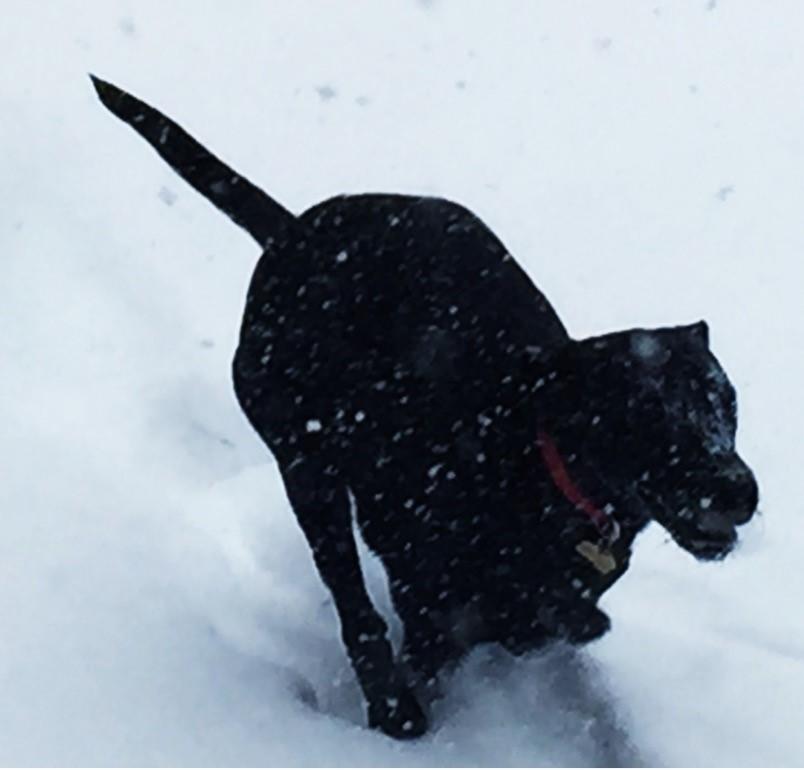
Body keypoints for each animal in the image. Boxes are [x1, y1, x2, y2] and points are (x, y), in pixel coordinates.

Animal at [94, 78, 760, 736]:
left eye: (727, 403)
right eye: (647, 411)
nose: (739, 489)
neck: (536, 460)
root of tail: (293, 231)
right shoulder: (425, 593)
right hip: (304, 463)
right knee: (354, 606)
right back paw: (394, 707)